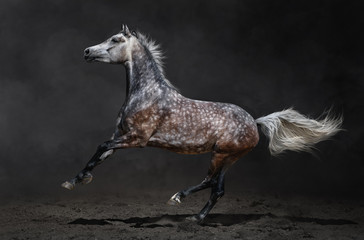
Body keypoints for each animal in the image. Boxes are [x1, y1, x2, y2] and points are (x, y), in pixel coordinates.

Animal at [61, 24, 342, 223]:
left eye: (116, 40)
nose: (87, 52)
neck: (147, 94)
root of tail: (254, 121)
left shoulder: (136, 139)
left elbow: (100, 146)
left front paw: (79, 180)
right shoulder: (120, 136)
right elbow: (100, 154)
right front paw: (75, 180)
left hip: (221, 154)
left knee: (209, 181)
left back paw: (177, 199)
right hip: (230, 158)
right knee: (217, 189)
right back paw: (196, 217)